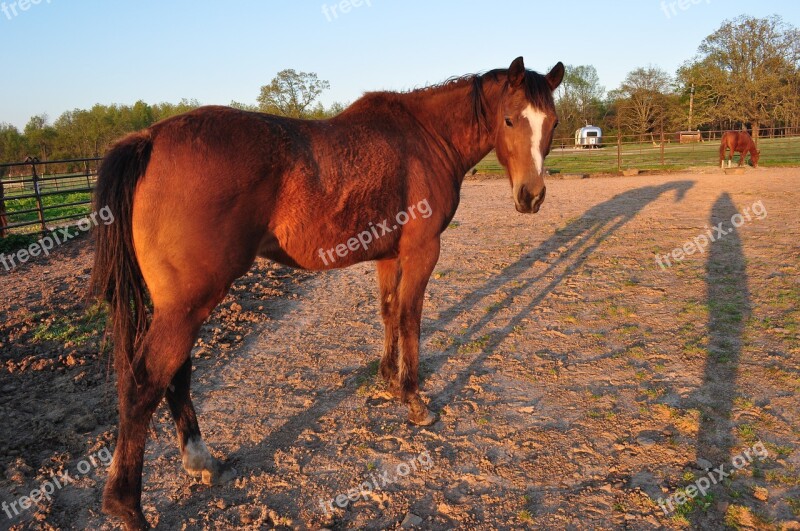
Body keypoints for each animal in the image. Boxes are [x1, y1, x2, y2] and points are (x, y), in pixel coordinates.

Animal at [90, 56, 564, 528]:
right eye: (509, 119)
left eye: (554, 122)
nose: (532, 196)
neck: (425, 137)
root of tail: (150, 138)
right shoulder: (422, 251)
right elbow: (410, 318)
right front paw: (414, 401)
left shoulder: (388, 255)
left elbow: (388, 313)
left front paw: (387, 377)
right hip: (188, 304)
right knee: (145, 384)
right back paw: (127, 506)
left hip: (178, 305)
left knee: (177, 374)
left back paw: (202, 462)